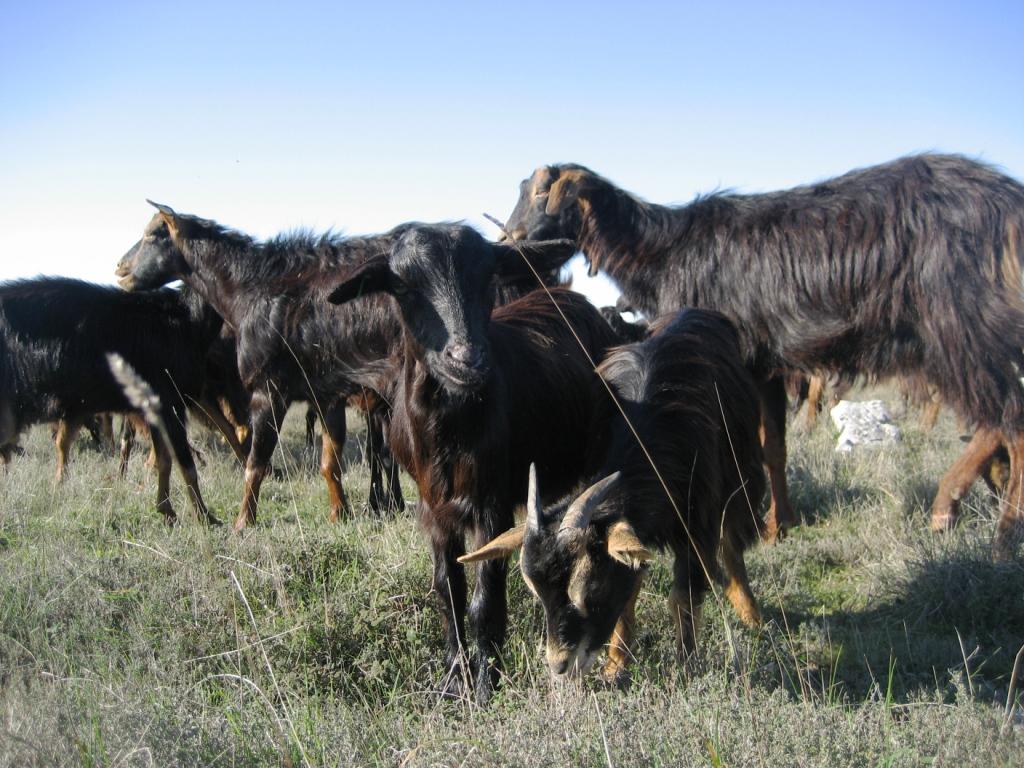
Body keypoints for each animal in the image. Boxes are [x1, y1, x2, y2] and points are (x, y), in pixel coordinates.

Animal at [0, 276, 223, 524]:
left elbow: (164, 460)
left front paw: (167, 511)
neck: (188, 319)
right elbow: (186, 465)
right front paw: (205, 517)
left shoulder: (156, 409)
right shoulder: (171, 402)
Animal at [327, 222, 614, 704]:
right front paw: (451, 680)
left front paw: (484, 688)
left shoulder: (490, 504)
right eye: (403, 286)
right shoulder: (433, 509)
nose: (467, 360)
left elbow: (485, 599)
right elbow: (449, 593)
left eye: (487, 279)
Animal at [460, 309, 765, 684]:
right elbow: (630, 589)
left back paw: (750, 613)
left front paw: (688, 664)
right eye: (537, 593)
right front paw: (615, 665)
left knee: (733, 540)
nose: (560, 666)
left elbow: (684, 595)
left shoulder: (697, 523)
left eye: (590, 589)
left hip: (742, 475)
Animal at [505, 153, 1024, 561]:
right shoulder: (764, 365)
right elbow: (773, 446)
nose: (511, 239)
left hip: (960, 323)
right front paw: (778, 524)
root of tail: (1009, 203)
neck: (661, 252)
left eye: (542, 192)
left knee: (1010, 418)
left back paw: (988, 530)